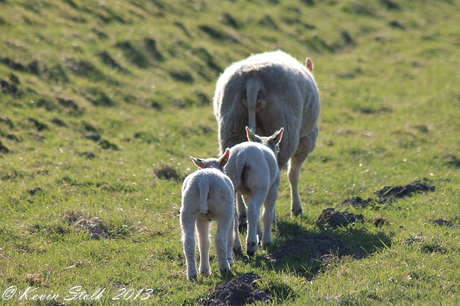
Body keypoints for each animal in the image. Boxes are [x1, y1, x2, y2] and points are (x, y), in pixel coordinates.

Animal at [179, 149, 241, 280]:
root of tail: (204, 182)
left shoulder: (201, 219)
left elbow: (204, 243)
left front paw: (204, 270)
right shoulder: (231, 215)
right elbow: (230, 237)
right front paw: (230, 260)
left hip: (188, 208)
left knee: (189, 241)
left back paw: (193, 274)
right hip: (225, 210)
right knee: (220, 239)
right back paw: (225, 268)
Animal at [215, 50, 320, 227]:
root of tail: (253, 78)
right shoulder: (306, 140)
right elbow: (293, 175)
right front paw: (296, 210)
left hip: (230, 126)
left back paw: (242, 216)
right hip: (284, 129)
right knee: (274, 177)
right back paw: (272, 217)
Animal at [224, 126, 284, 256]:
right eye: (278, 149)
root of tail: (241, 155)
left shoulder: (247, 193)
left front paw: (260, 235)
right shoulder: (273, 188)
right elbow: (267, 213)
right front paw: (266, 241)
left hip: (230, 183)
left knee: (235, 213)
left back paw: (237, 247)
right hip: (260, 184)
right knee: (253, 209)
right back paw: (251, 245)